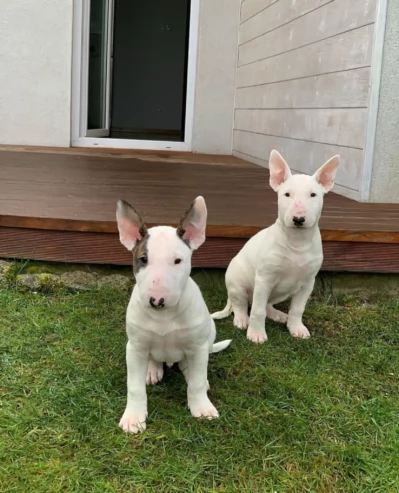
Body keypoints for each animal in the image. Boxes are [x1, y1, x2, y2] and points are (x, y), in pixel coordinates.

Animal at [116, 194, 231, 432]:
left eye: (178, 261)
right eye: (143, 259)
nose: (156, 301)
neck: (164, 317)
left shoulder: (197, 346)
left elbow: (196, 382)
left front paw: (202, 408)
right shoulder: (134, 347)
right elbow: (134, 386)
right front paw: (133, 417)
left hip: (210, 332)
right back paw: (152, 370)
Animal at [212, 149, 340, 342]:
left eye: (313, 195)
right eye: (287, 194)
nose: (298, 219)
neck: (297, 242)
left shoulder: (308, 282)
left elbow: (297, 309)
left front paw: (296, 328)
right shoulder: (264, 279)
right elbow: (257, 311)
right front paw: (256, 334)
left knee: (266, 305)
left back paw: (278, 315)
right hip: (237, 283)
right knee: (241, 304)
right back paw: (242, 319)